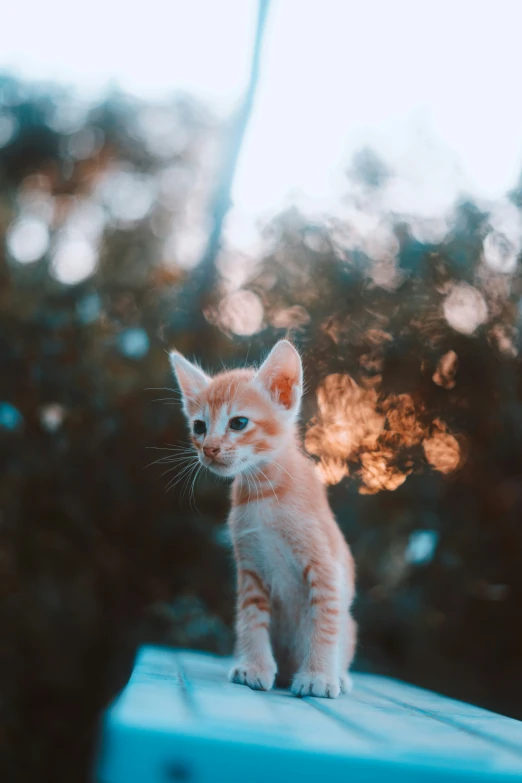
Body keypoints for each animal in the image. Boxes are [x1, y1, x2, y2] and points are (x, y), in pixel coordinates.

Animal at [169, 342, 356, 700]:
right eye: (199, 427)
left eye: (239, 423)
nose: (209, 449)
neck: (264, 494)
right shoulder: (250, 569)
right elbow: (251, 620)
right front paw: (255, 666)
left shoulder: (325, 566)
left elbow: (325, 622)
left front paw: (318, 675)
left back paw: (338, 675)